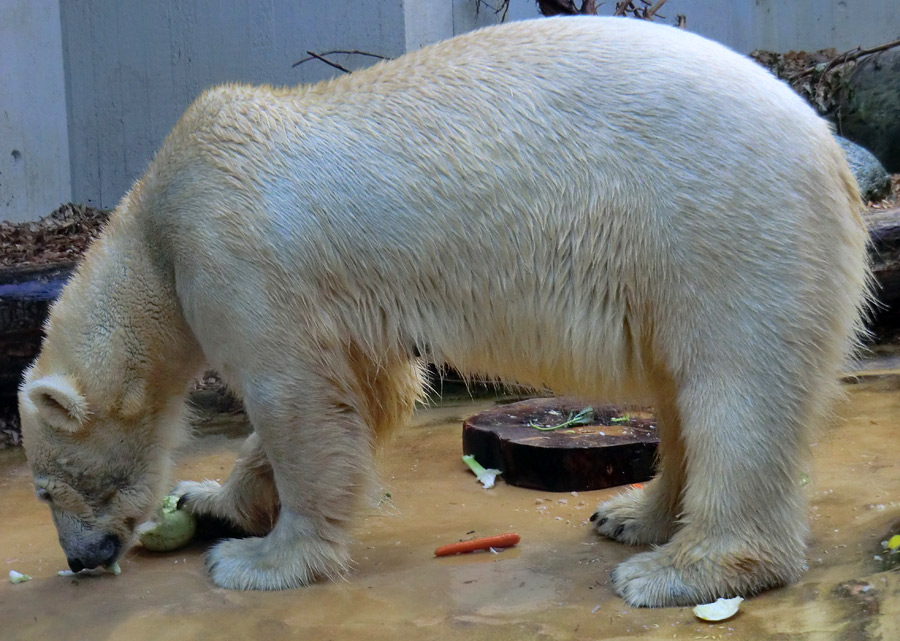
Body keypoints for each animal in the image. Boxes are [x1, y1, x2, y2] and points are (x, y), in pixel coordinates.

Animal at [15, 16, 872, 604]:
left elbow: (295, 401)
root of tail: (829, 148)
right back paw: (633, 514)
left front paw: (259, 559)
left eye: (47, 488)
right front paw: (213, 500)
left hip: (722, 226)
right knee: (680, 388)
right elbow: (368, 391)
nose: (81, 558)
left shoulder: (237, 255)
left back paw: (682, 568)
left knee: (735, 389)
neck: (159, 218)